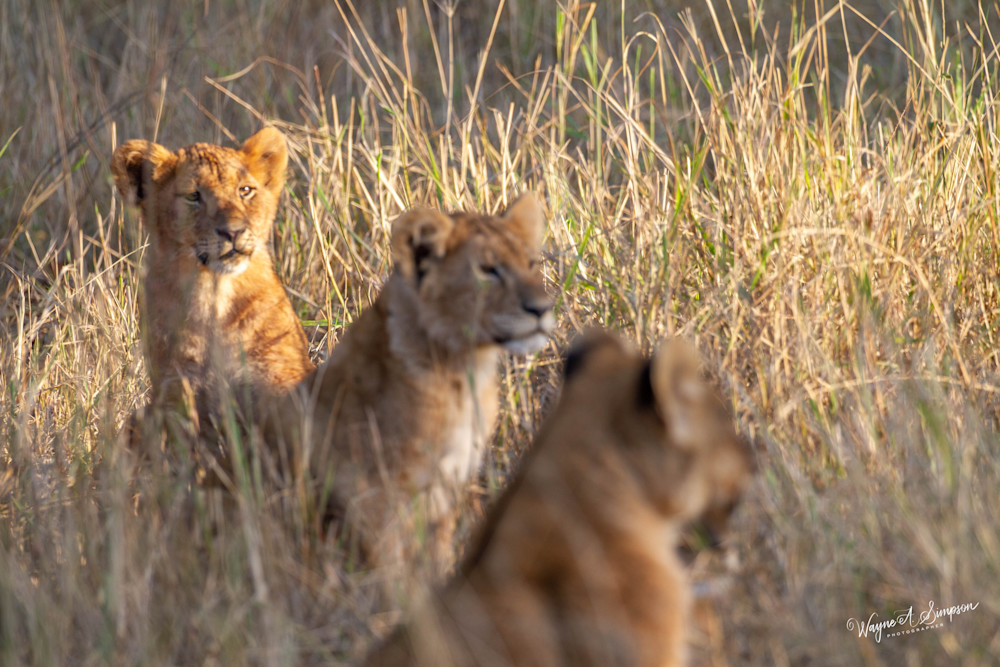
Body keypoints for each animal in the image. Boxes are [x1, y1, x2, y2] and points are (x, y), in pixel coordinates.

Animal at [111, 128, 314, 458]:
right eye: (194, 196)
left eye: (245, 190)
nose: (233, 232)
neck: (214, 294)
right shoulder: (177, 391)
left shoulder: (279, 377)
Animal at [268, 194, 555, 576]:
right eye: (487, 270)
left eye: (531, 263)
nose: (542, 309)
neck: (464, 370)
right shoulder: (372, 492)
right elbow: (393, 570)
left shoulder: (449, 487)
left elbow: (438, 558)